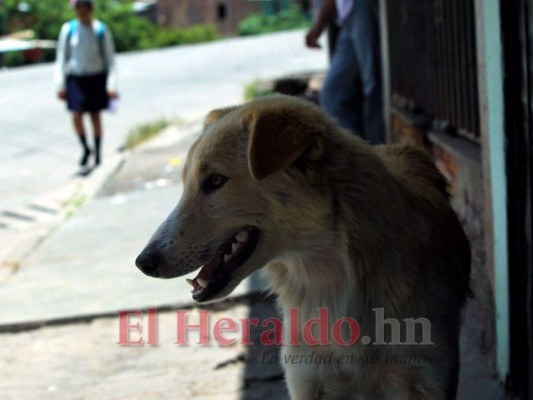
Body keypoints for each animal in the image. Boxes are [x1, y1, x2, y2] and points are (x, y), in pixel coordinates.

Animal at [136, 94, 470, 400]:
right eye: (185, 184)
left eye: (216, 180)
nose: (143, 262)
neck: (330, 281)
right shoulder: (307, 380)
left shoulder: (423, 378)